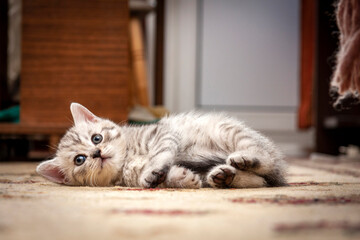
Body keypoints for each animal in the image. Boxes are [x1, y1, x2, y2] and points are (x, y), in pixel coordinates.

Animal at [36, 103, 286, 189]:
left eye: (96, 138)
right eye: (79, 160)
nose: (96, 153)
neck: (128, 158)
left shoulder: (162, 134)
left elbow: (160, 154)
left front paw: (154, 168)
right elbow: (163, 177)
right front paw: (182, 178)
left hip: (229, 131)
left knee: (265, 162)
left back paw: (245, 159)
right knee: (260, 180)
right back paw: (223, 176)